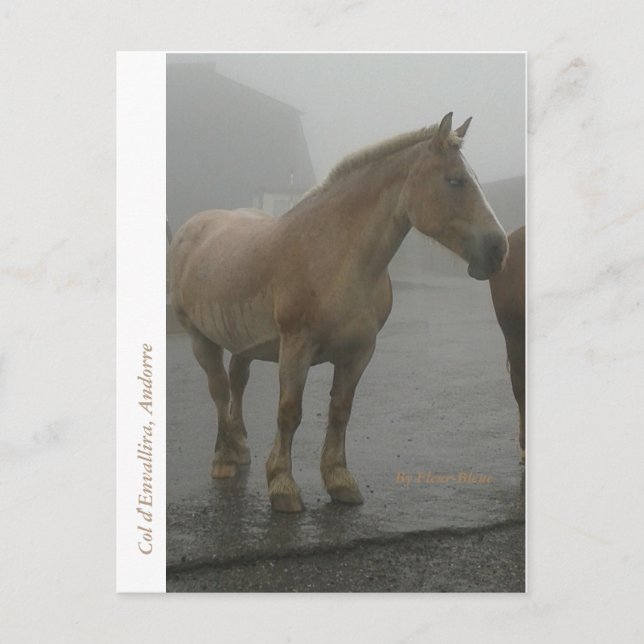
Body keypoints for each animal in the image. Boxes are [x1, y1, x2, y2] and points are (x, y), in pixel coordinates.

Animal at [169, 112, 509, 513]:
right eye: (455, 181)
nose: (498, 249)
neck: (334, 254)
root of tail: (192, 228)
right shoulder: (296, 348)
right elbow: (289, 413)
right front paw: (282, 486)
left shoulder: (359, 352)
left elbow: (340, 411)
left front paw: (339, 480)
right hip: (200, 338)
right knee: (219, 391)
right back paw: (223, 459)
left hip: (242, 340)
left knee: (237, 383)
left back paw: (240, 449)